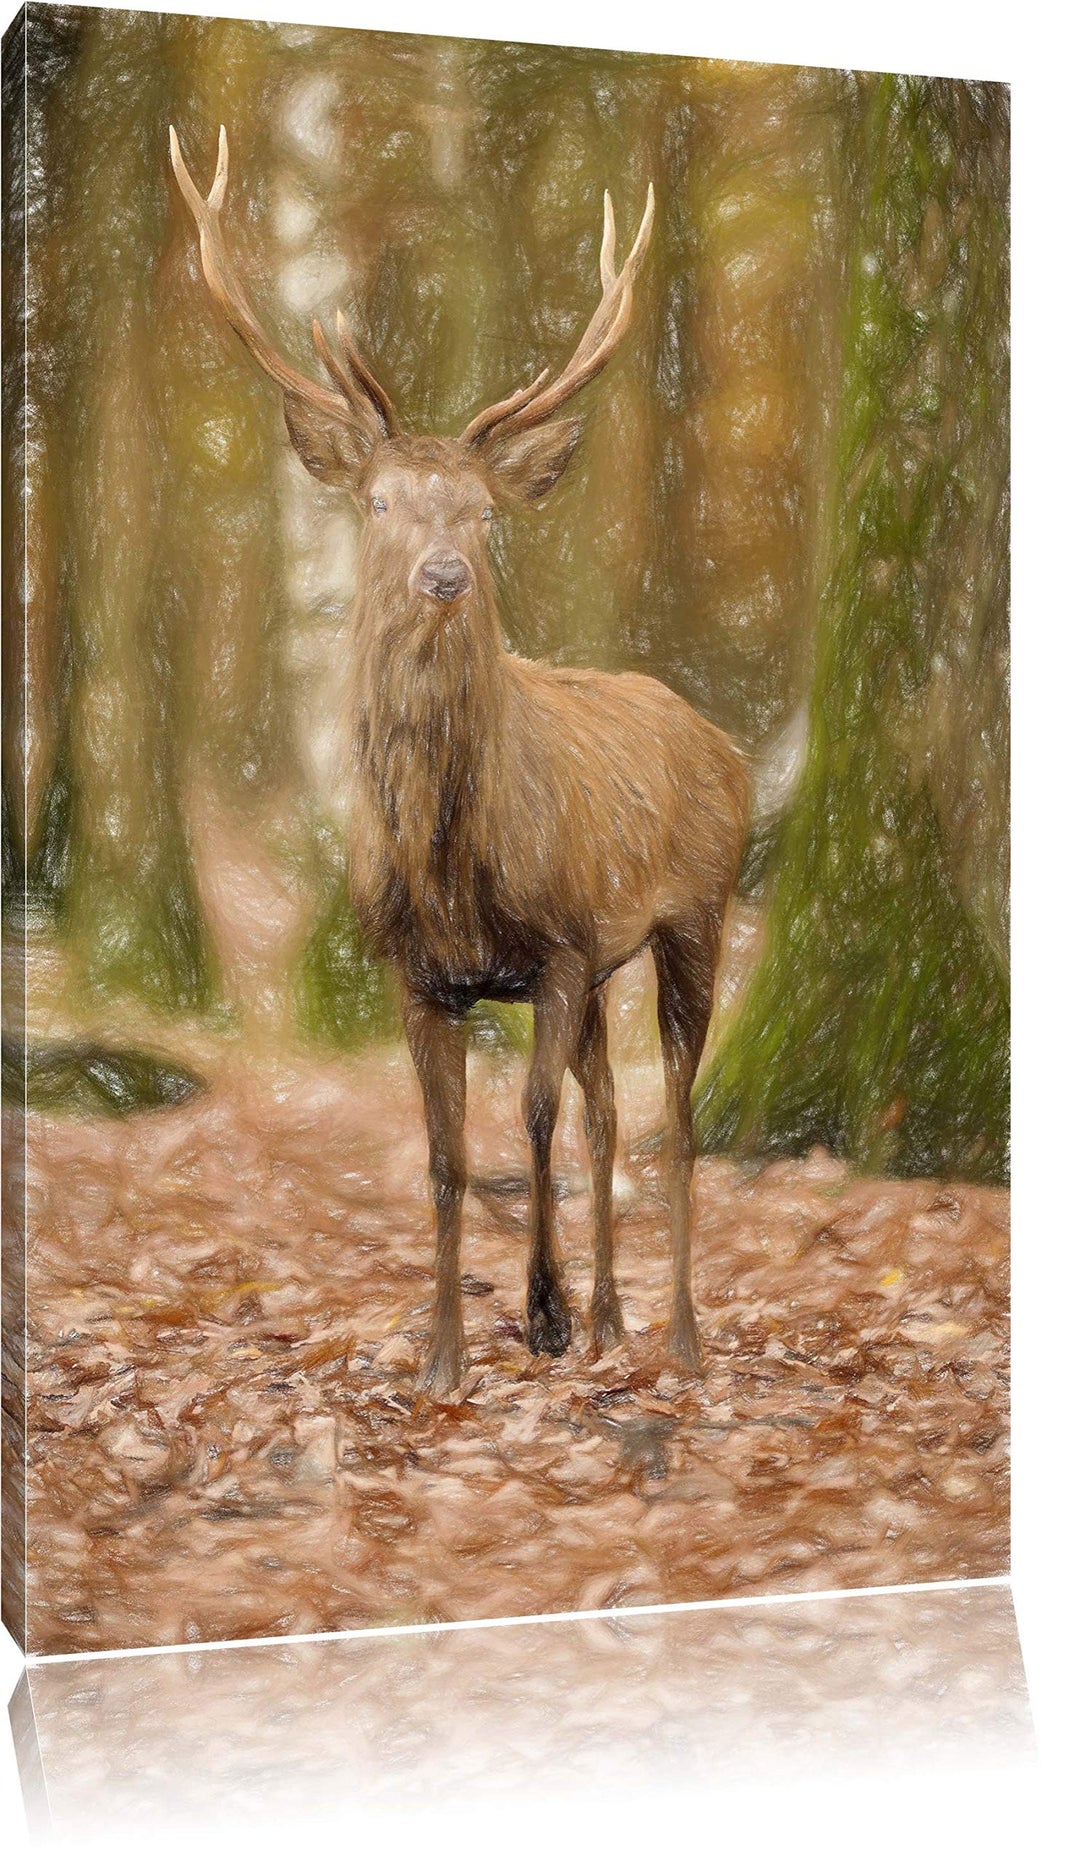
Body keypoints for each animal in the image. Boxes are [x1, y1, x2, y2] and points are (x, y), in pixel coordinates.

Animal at [170, 127, 749, 1397]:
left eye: (480, 511)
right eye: (381, 501)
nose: (443, 573)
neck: (451, 868)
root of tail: (720, 735)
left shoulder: (563, 945)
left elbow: (527, 1120)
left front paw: (536, 1316)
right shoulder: (417, 971)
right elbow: (440, 1152)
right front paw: (444, 1351)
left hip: (695, 914)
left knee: (675, 1122)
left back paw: (678, 1336)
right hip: (619, 959)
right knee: (612, 1110)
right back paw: (615, 1317)